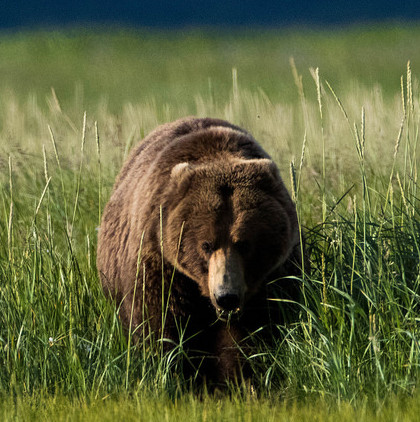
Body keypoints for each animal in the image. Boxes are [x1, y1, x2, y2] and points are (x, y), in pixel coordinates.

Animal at [96, 116, 304, 382]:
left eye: (244, 243)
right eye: (206, 244)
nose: (226, 296)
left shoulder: (272, 275)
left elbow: (254, 332)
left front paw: (238, 376)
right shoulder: (161, 261)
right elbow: (158, 323)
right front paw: (172, 369)